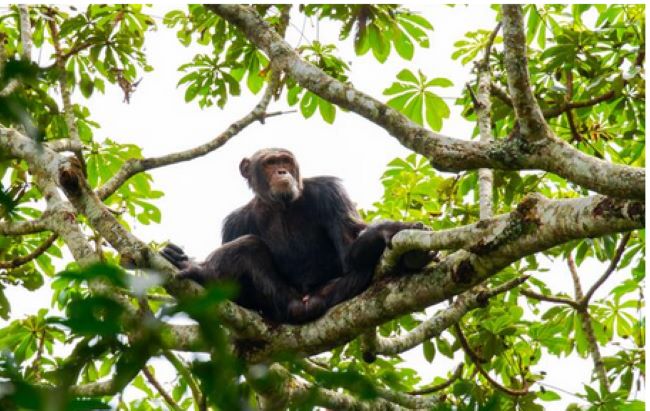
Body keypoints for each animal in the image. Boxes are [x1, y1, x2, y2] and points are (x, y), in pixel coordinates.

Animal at [160, 149, 428, 326]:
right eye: (270, 163)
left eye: (286, 161)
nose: (282, 171)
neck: (280, 205)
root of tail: (303, 304)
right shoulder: (234, 223)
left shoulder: (330, 192)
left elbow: (349, 249)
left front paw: (389, 229)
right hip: (279, 300)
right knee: (248, 246)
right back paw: (201, 271)